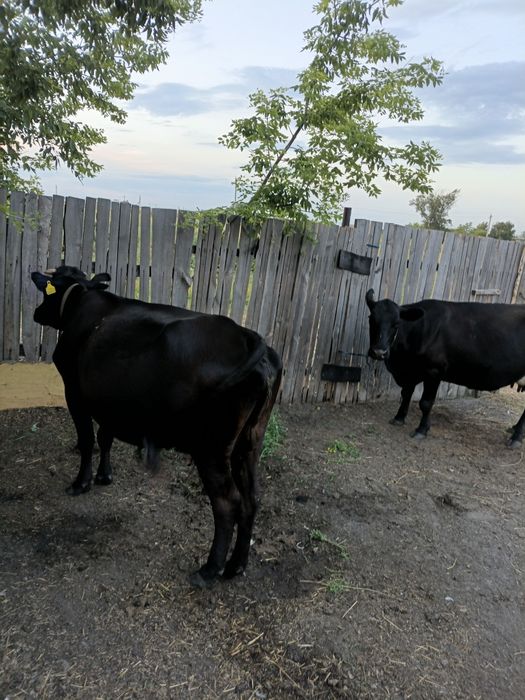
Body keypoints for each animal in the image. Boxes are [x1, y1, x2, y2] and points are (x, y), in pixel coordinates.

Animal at [31, 265, 282, 588]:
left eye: (47, 290)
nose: (37, 312)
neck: (83, 303)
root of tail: (248, 336)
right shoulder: (111, 403)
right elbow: (105, 436)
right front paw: (104, 476)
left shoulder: (74, 393)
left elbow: (88, 440)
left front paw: (80, 483)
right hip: (250, 442)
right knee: (252, 498)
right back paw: (236, 566)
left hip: (212, 449)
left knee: (228, 503)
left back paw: (209, 570)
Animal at [365, 288, 525, 448]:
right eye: (371, 319)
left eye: (396, 323)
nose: (379, 352)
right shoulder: (412, 370)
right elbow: (406, 394)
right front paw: (399, 418)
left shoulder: (434, 371)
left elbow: (425, 403)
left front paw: (421, 430)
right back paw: (514, 429)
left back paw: (516, 438)